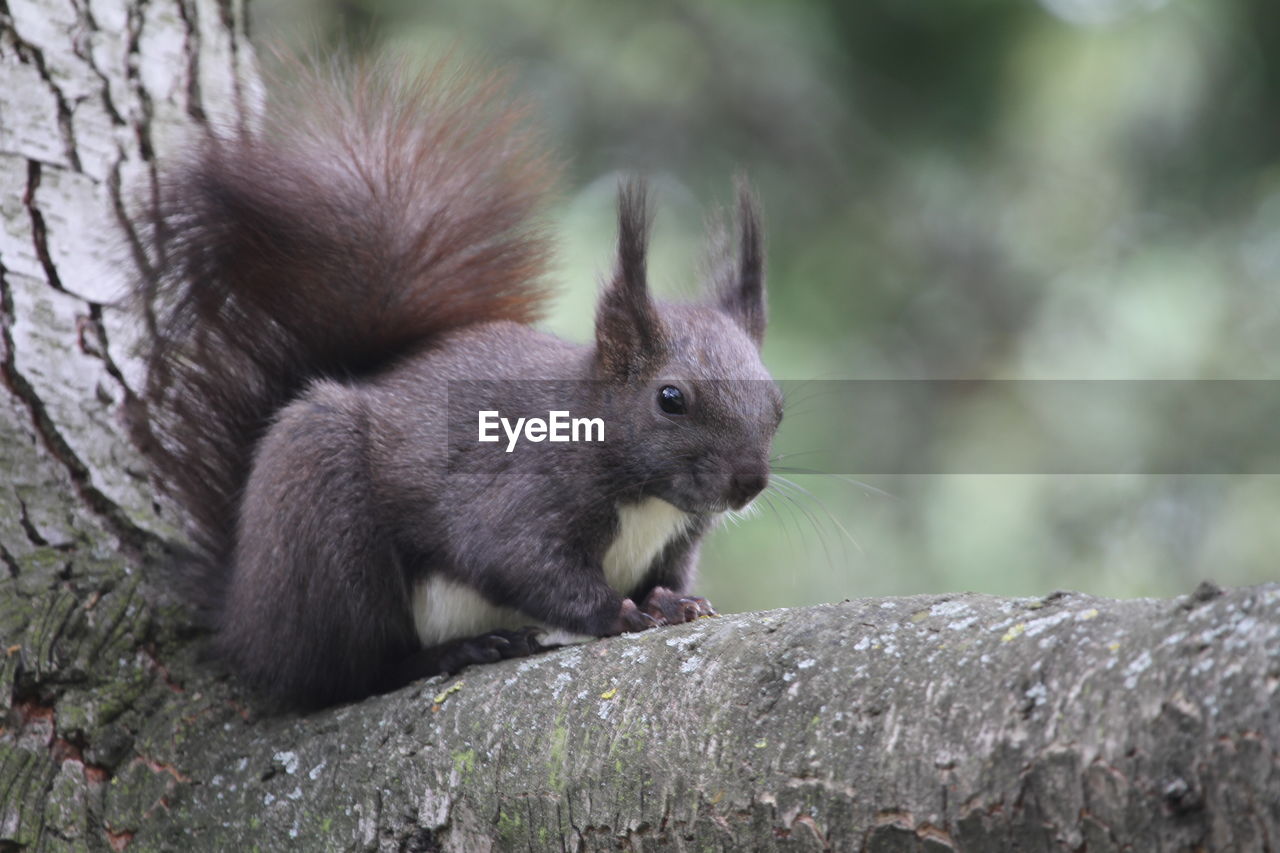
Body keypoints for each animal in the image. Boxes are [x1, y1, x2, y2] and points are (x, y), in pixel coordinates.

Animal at [134, 58, 781, 709]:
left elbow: (664, 577)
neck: (648, 500)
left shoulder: (677, 540)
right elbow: (520, 563)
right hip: (325, 529)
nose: (748, 483)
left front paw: (674, 602)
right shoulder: (519, 495)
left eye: (778, 404)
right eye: (670, 399)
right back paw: (453, 652)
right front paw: (618, 613)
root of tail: (241, 610)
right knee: (348, 673)